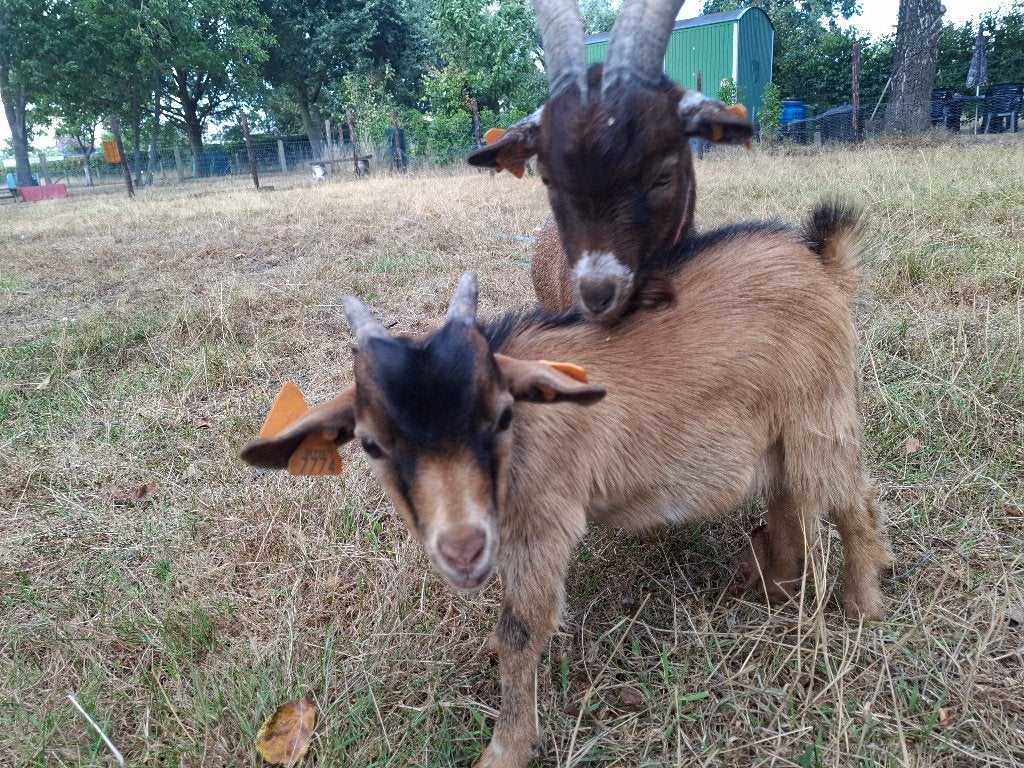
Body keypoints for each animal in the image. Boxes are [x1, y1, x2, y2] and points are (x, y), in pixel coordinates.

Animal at [240, 202, 890, 768]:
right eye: (372, 444)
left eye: (501, 417)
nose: (462, 549)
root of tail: (823, 263)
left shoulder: (542, 522)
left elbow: (521, 628)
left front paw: (504, 750)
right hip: (779, 434)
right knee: (788, 499)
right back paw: (773, 582)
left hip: (818, 417)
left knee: (853, 501)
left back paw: (861, 606)